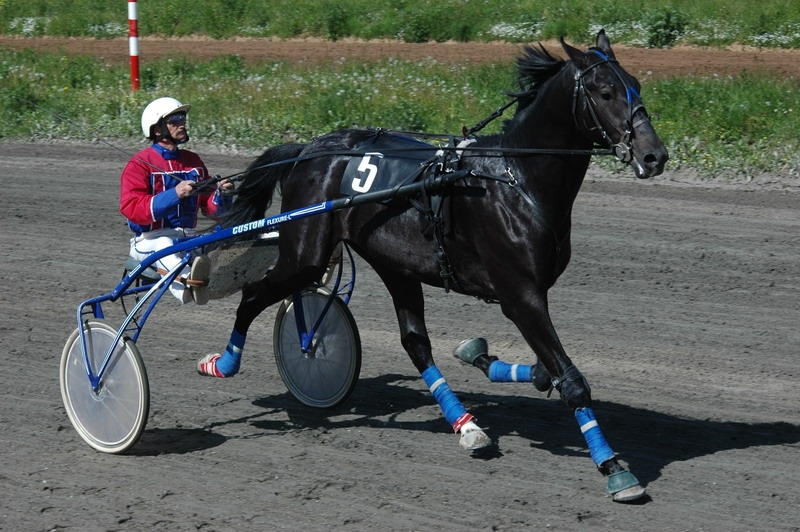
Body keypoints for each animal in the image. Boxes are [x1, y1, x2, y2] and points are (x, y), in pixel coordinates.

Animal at [200, 31, 668, 500]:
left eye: (637, 86)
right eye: (605, 92)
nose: (654, 156)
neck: (516, 180)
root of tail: (308, 149)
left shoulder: (528, 294)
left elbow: (544, 371)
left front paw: (484, 358)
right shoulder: (520, 295)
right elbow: (571, 380)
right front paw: (614, 469)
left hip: (394, 265)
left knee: (415, 343)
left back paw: (468, 427)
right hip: (305, 254)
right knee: (254, 295)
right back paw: (223, 363)